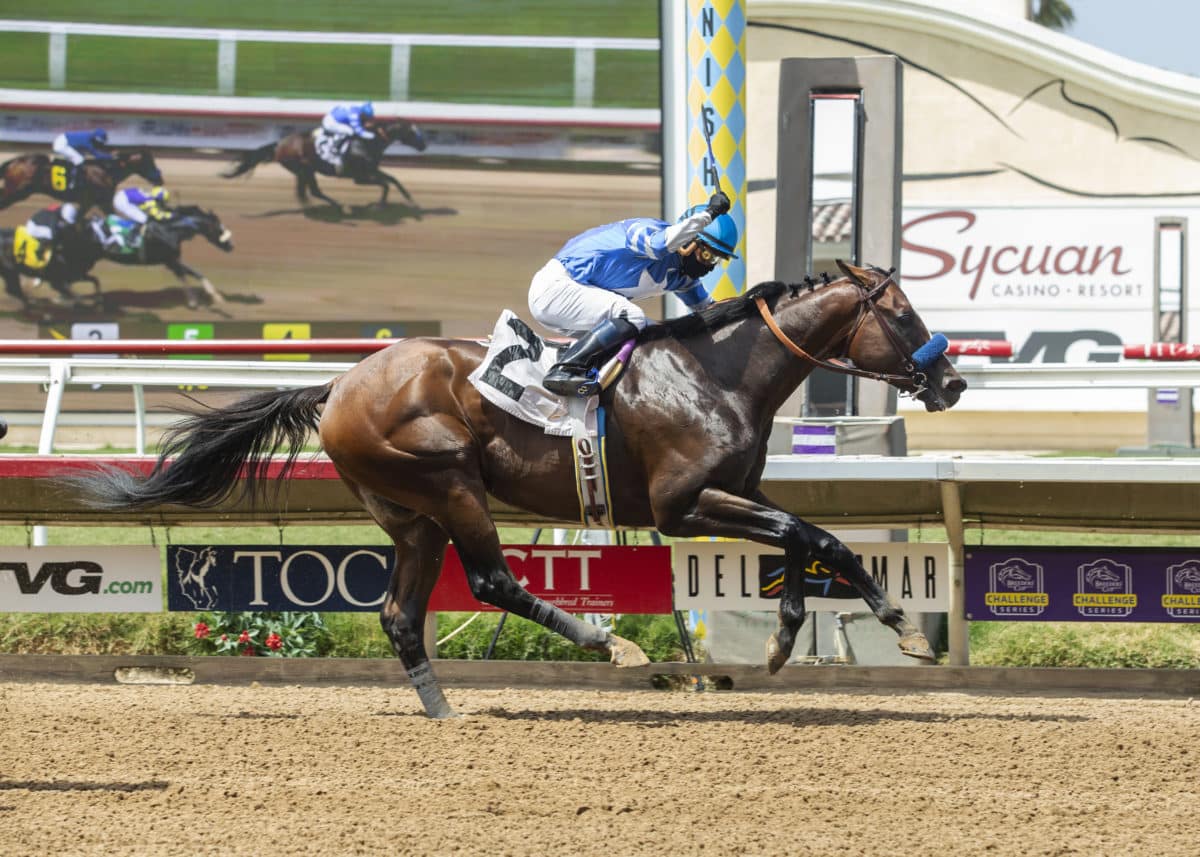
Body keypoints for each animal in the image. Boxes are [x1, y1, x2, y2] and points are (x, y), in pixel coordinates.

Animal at [0, 147, 164, 213]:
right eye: (149, 162)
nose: (160, 179)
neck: (106, 170)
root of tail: (14, 162)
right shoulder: (94, 201)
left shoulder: (96, 202)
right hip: (16, 191)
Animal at [223, 118, 429, 210]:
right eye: (412, 132)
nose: (424, 145)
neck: (368, 141)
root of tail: (279, 144)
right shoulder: (360, 177)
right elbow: (385, 184)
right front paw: (380, 204)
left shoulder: (372, 170)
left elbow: (392, 179)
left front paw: (409, 198)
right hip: (304, 169)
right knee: (310, 191)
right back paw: (336, 206)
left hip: (305, 170)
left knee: (308, 191)